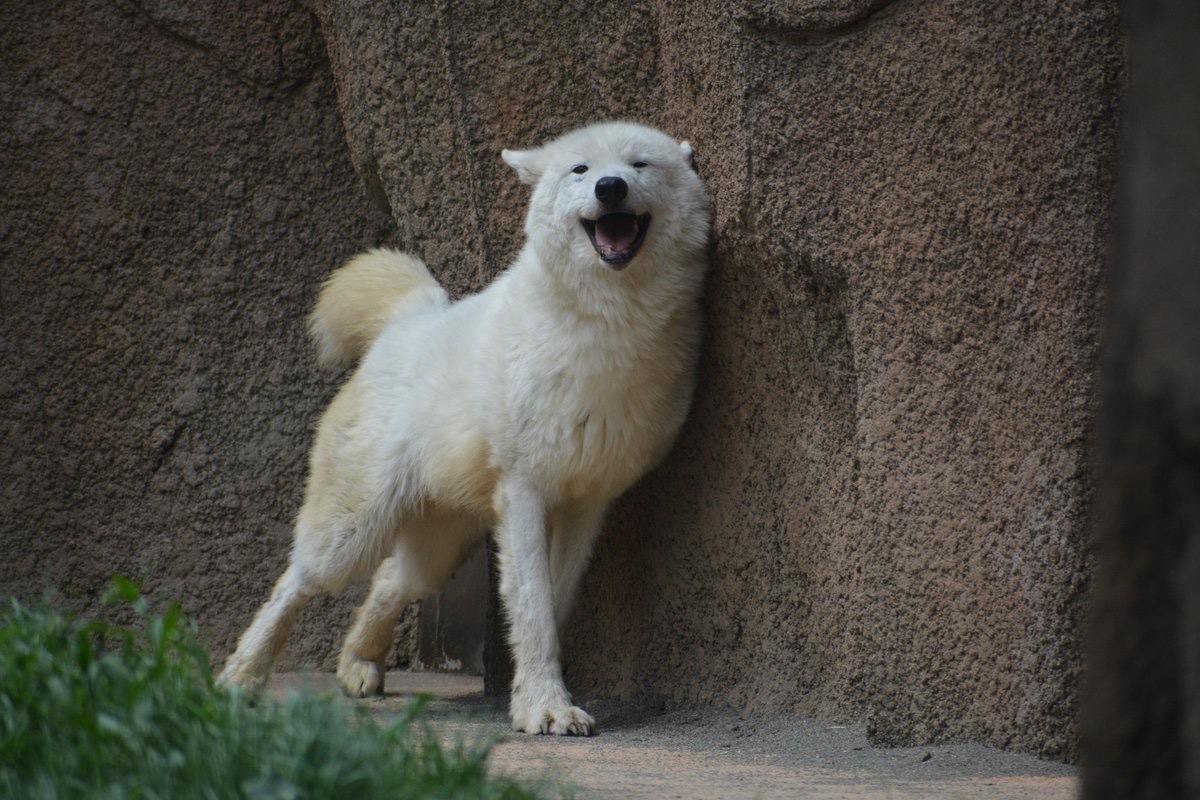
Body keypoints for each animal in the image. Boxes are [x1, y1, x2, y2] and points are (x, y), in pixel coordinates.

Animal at [219, 120, 705, 738]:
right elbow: (533, 605)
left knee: (390, 581)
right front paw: (545, 709)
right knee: (300, 579)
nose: (610, 187)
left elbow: (553, 600)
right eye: (580, 170)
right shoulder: (524, 489)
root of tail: (407, 319)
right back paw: (238, 678)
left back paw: (358, 666)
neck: (608, 324)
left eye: (640, 164)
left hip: (439, 548)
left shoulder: (588, 500)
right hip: (354, 531)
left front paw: (532, 697)